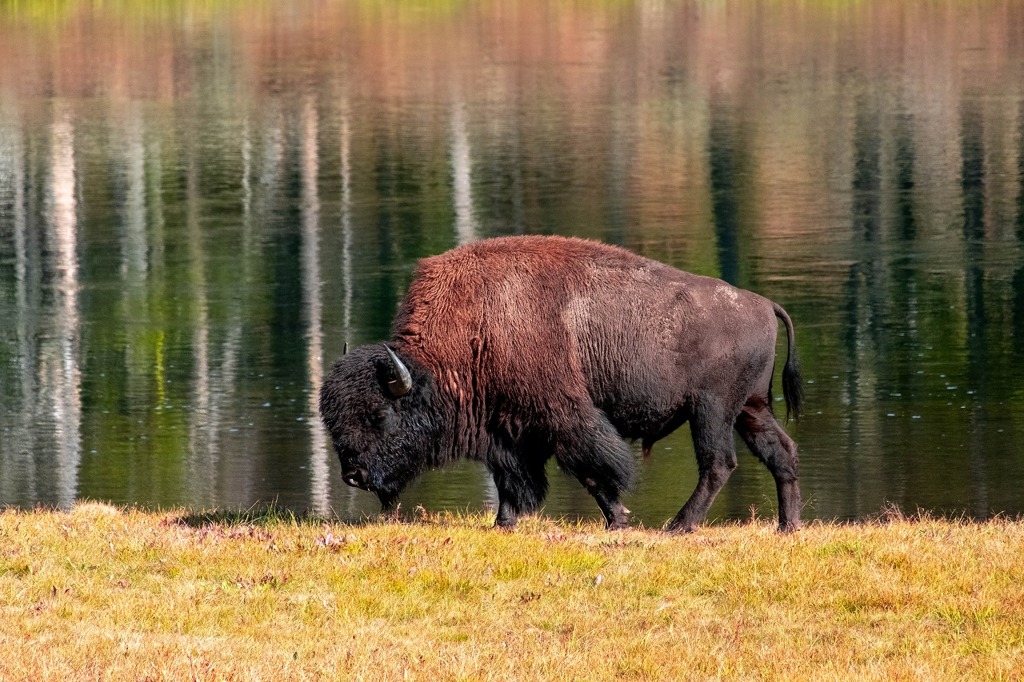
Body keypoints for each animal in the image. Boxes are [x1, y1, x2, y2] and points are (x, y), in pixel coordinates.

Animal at [315, 233, 802, 532]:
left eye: (380, 417)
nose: (353, 475)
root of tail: (763, 304)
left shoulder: (562, 416)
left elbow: (594, 468)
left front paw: (617, 520)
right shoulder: (507, 430)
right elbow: (514, 478)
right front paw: (504, 522)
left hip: (711, 411)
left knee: (718, 464)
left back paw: (679, 526)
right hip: (750, 409)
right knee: (780, 452)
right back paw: (787, 526)